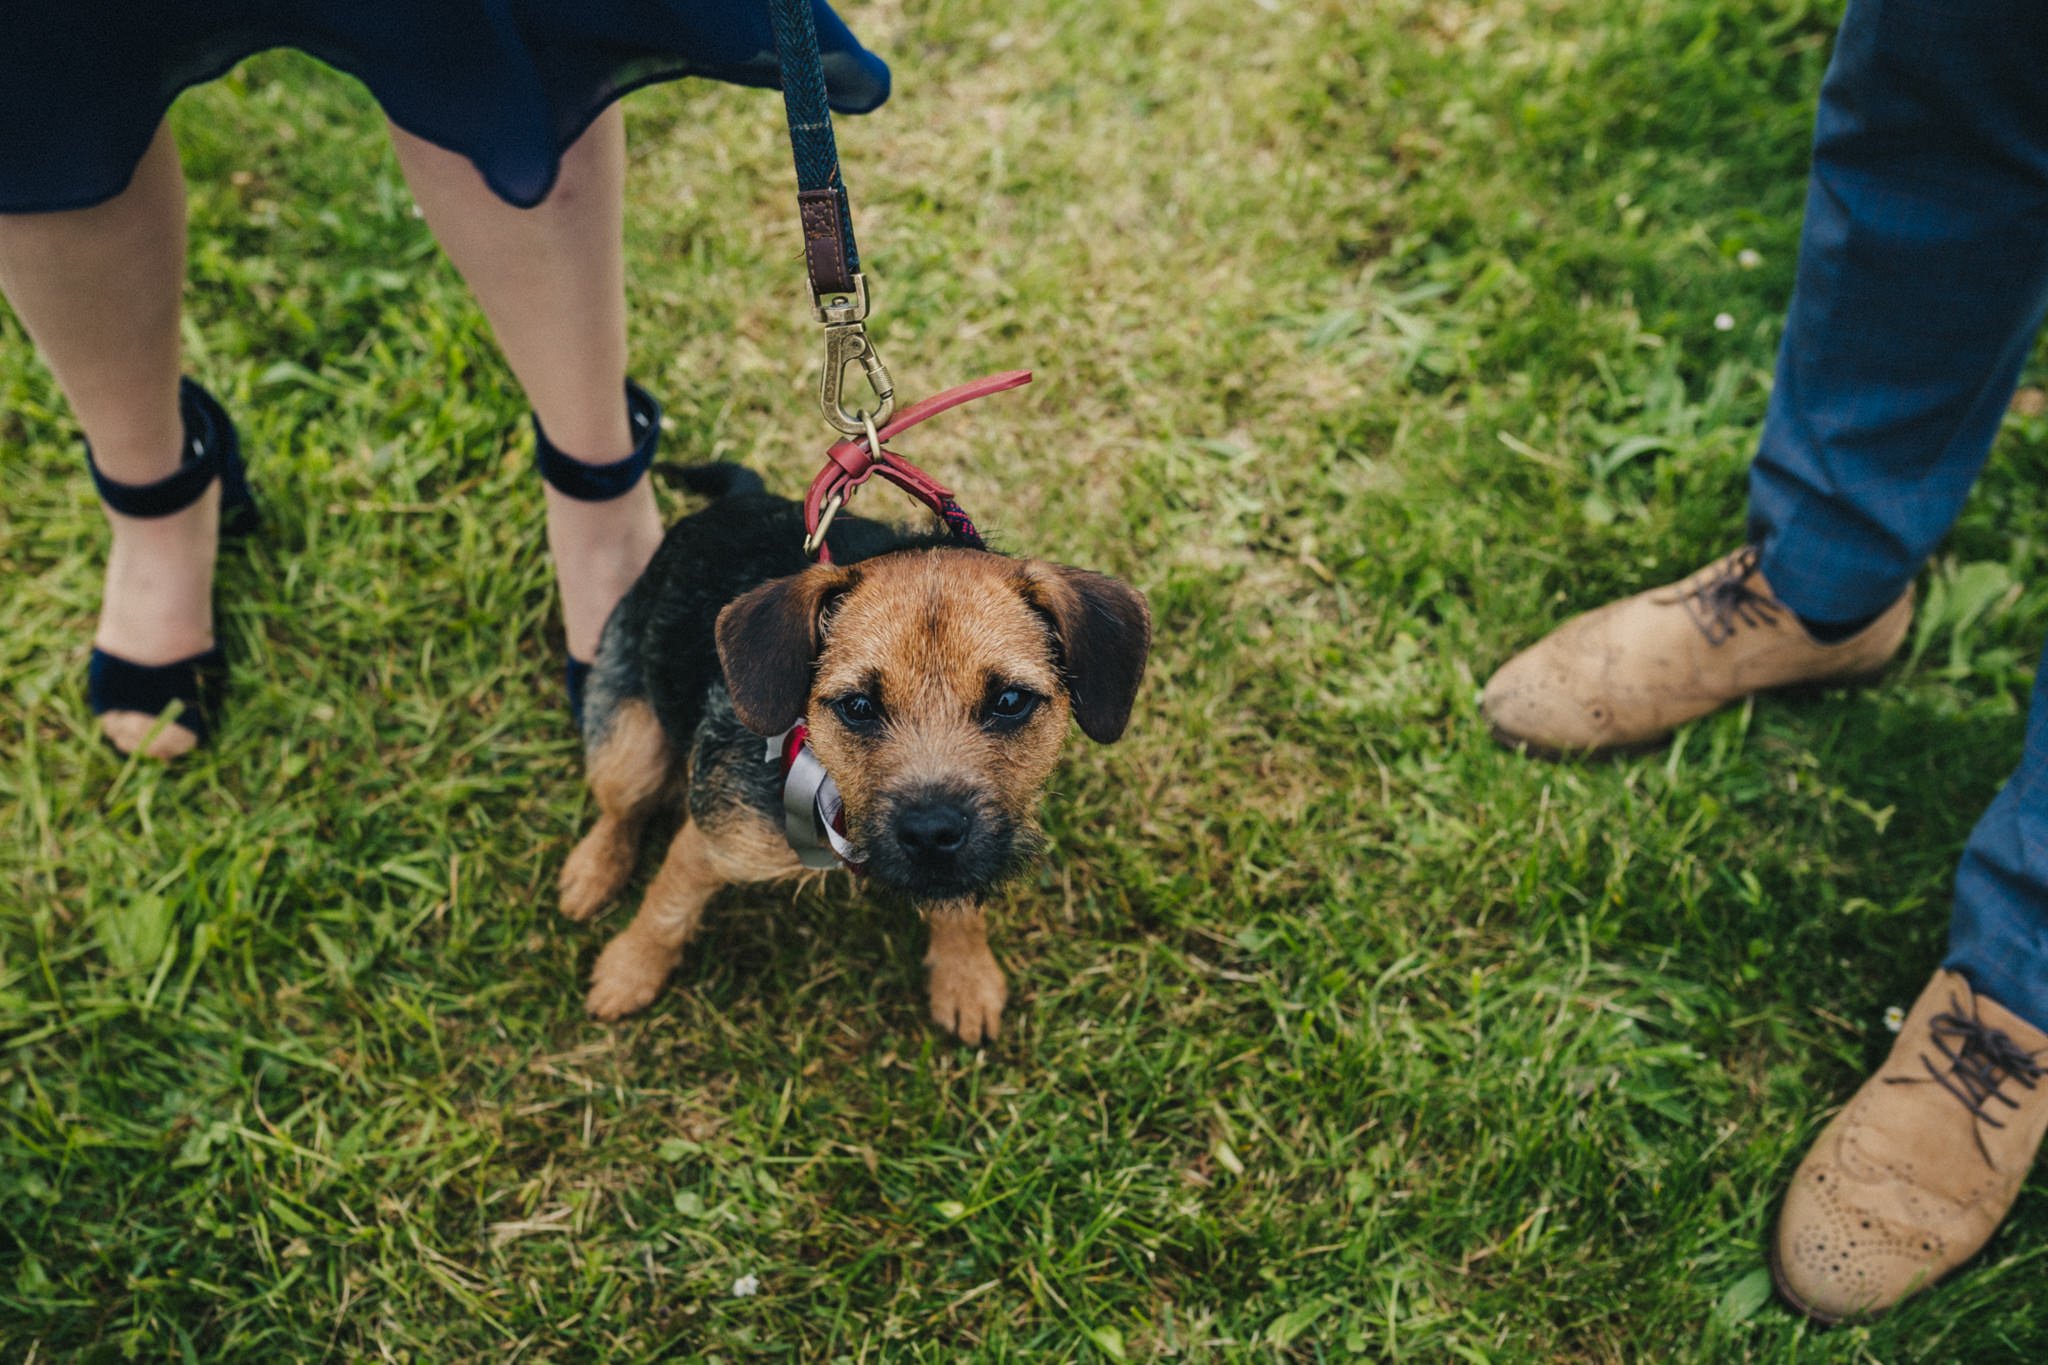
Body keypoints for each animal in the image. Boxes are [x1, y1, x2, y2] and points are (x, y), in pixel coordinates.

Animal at [557, 464, 1155, 1039]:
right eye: (859, 706)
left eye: (1009, 700)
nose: (932, 833)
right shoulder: (715, 836)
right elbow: (666, 908)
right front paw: (628, 970)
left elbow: (961, 907)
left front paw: (966, 976)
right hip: (631, 745)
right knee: (621, 808)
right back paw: (591, 873)